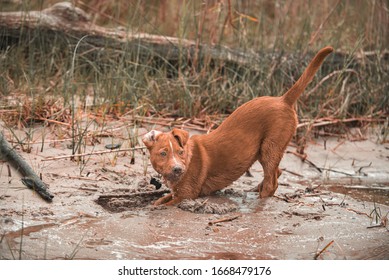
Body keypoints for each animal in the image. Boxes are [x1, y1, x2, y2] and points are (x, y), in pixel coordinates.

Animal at [144, 46, 332, 206]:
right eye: (163, 153)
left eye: (180, 152)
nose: (177, 169)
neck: (189, 157)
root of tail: (283, 100)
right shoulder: (177, 192)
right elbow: (161, 200)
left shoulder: (187, 194)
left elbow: (164, 205)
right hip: (266, 150)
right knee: (276, 174)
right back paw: (256, 189)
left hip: (271, 147)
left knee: (272, 182)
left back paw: (260, 199)